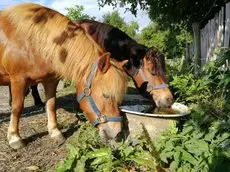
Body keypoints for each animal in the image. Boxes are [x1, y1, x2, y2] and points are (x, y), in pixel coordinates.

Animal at [0, 2, 128, 148]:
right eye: (106, 95)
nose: (117, 132)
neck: (32, 40)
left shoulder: (50, 80)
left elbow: (51, 105)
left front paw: (55, 132)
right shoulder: (18, 80)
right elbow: (17, 108)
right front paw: (14, 138)